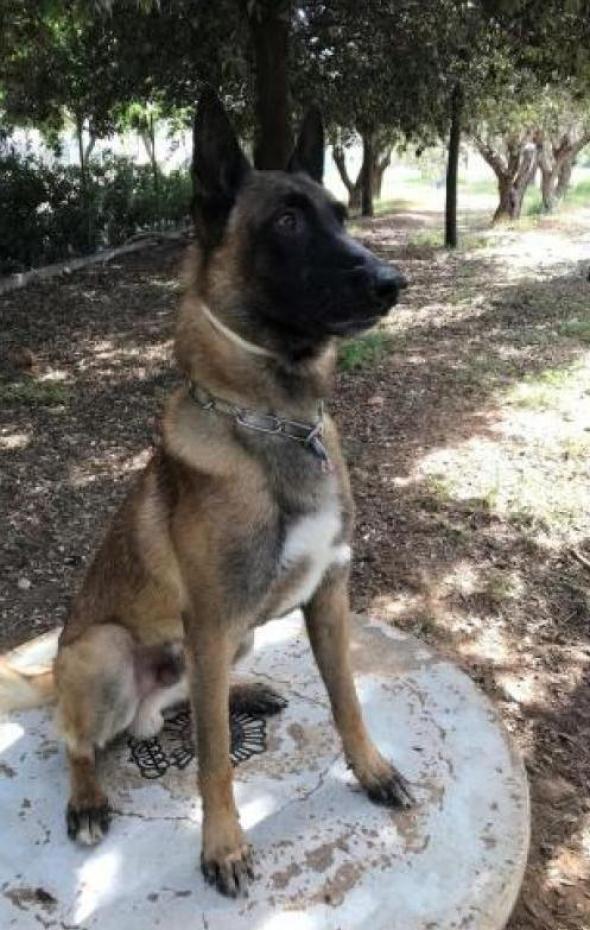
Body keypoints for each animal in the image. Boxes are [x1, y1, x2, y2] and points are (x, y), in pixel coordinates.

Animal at [53, 89, 412, 898]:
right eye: (286, 222)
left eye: (339, 214)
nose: (391, 282)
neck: (278, 421)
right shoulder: (212, 619)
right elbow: (215, 760)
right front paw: (222, 846)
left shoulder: (326, 596)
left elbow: (347, 700)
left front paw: (372, 770)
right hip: (105, 651)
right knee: (82, 744)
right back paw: (87, 800)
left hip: (231, 638)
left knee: (190, 698)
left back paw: (243, 691)